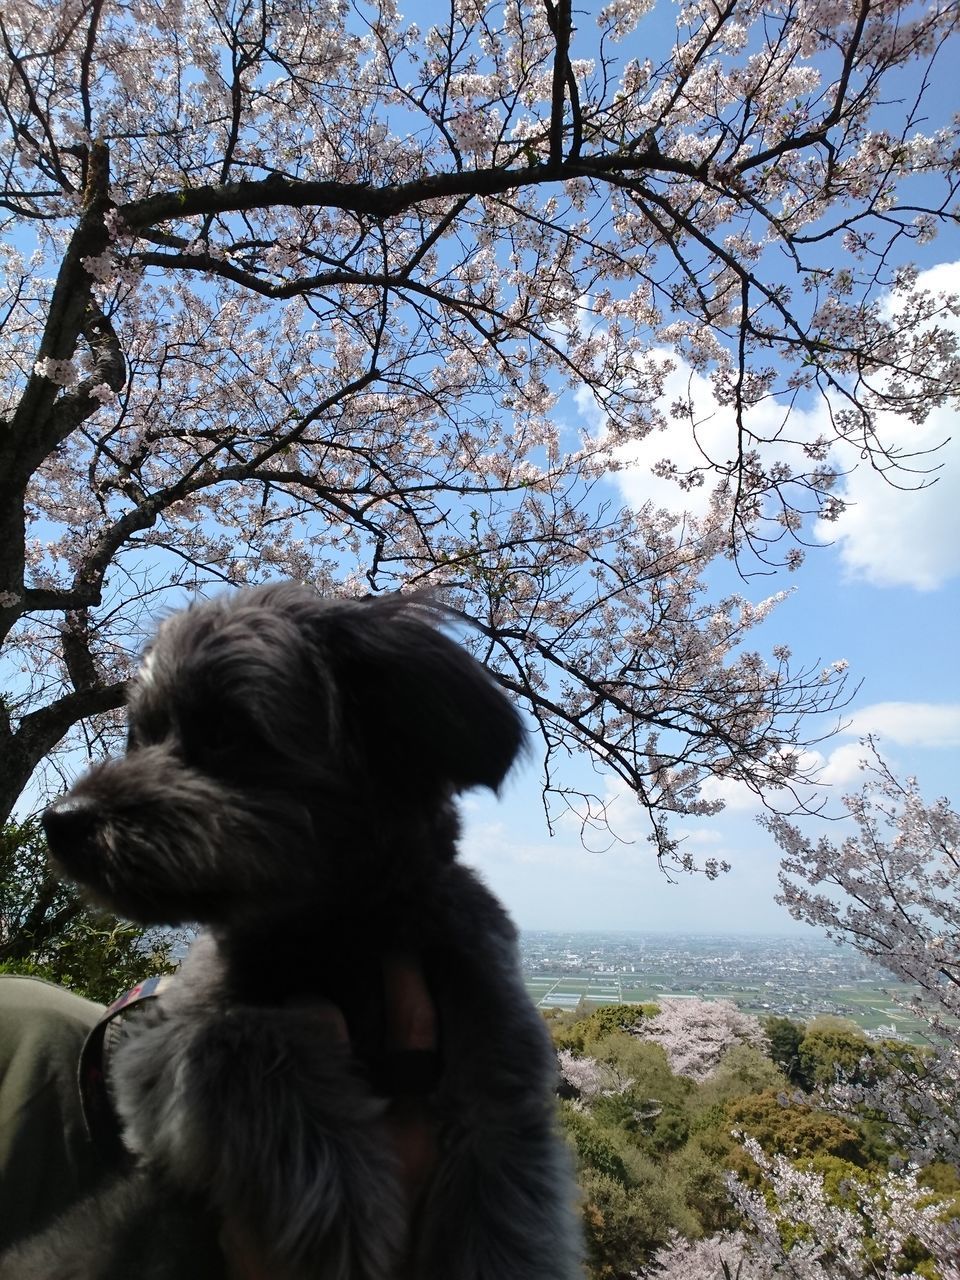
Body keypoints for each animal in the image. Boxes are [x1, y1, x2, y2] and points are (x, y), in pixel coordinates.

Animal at [3, 583, 583, 1280]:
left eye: (226, 732)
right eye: (139, 736)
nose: (59, 821)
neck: (336, 931)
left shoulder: (499, 1084)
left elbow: (503, 1214)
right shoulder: (156, 1047)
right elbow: (244, 1038)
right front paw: (349, 1201)